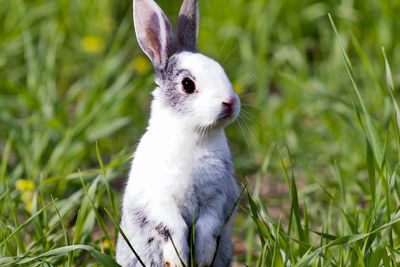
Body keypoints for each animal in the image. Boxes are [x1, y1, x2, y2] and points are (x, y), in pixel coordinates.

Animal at [115, 0, 241, 266]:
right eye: (188, 85)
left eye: (220, 69)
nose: (230, 102)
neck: (194, 136)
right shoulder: (159, 198)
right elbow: (171, 228)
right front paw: (179, 259)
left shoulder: (216, 197)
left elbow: (208, 226)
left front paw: (202, 258)